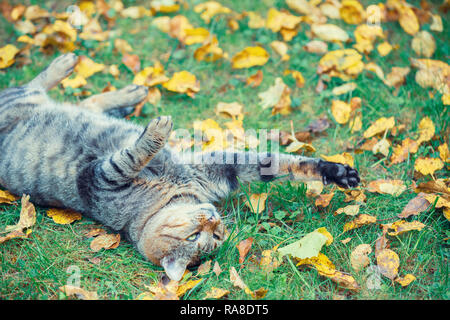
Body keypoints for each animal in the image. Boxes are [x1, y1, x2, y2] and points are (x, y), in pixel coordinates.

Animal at [0, 53, 358, 282]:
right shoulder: (100, 177)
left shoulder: (217, 168)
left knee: (80, 101)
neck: (170, 191)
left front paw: (335, 171)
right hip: (16, 102)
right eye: (195, 236)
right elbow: (130, 156)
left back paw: (128, 91)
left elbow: (279, 163)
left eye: (216, 235)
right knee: (33, 85)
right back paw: (69, 66)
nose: (214, 219)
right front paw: (155, 134)